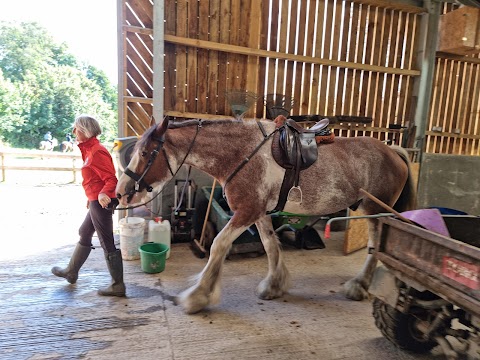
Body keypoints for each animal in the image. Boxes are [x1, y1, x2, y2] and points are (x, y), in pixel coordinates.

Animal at [116, 116, 416, 314]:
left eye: (145, 152)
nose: (121, 193)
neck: (240, 153)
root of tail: (393, 150)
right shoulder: (258, 212)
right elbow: (271, 245)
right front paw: (274, 285)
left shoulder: (246, 212)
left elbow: (218, 246)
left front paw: (198, 296)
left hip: (375, 212)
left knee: (374, 248)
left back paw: (359, 286)